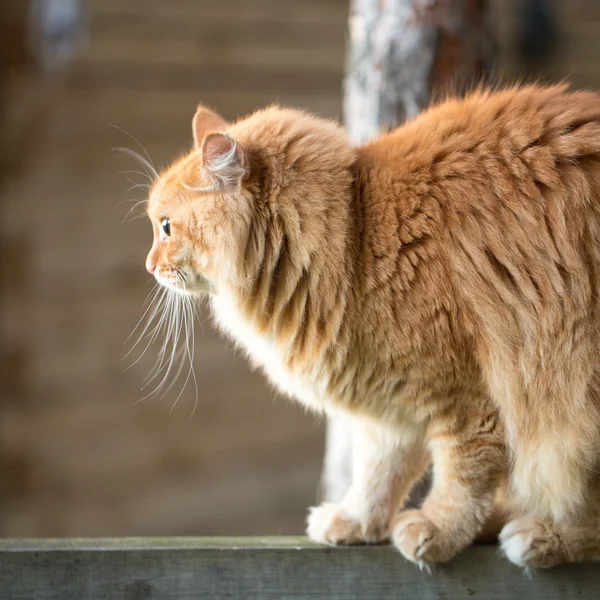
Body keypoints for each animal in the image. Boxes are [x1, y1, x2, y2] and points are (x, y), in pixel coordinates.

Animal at [143, 84, 600, 568]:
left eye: (166, 227)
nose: (149, 265)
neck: (355, 234)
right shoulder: (392, 405)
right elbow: (379, 475)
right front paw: (358, 521)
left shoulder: (469, 400)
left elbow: (463, 475)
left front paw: (439, 528)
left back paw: (541, 535)